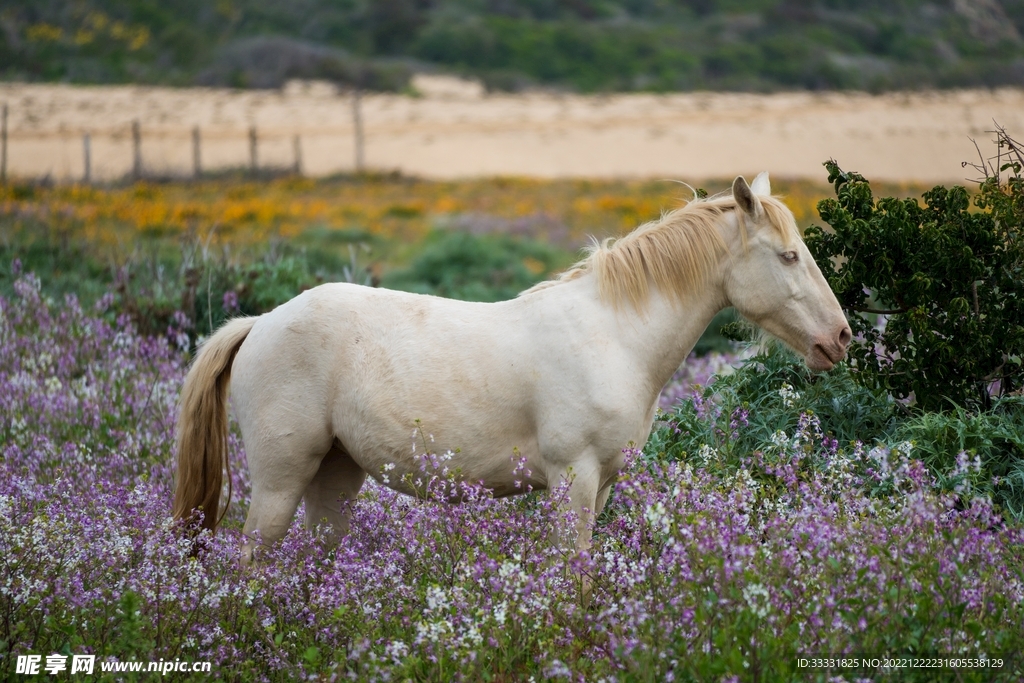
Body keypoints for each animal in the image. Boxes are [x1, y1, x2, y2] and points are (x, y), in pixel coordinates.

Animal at [172, 173, 851, 563]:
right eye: (788, 256)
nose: (840, 338)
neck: (614, 335)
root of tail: (259, 323)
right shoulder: (572, 479)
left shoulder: (601, 483)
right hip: (281, 483)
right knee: (254, 565)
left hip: (335, 477)